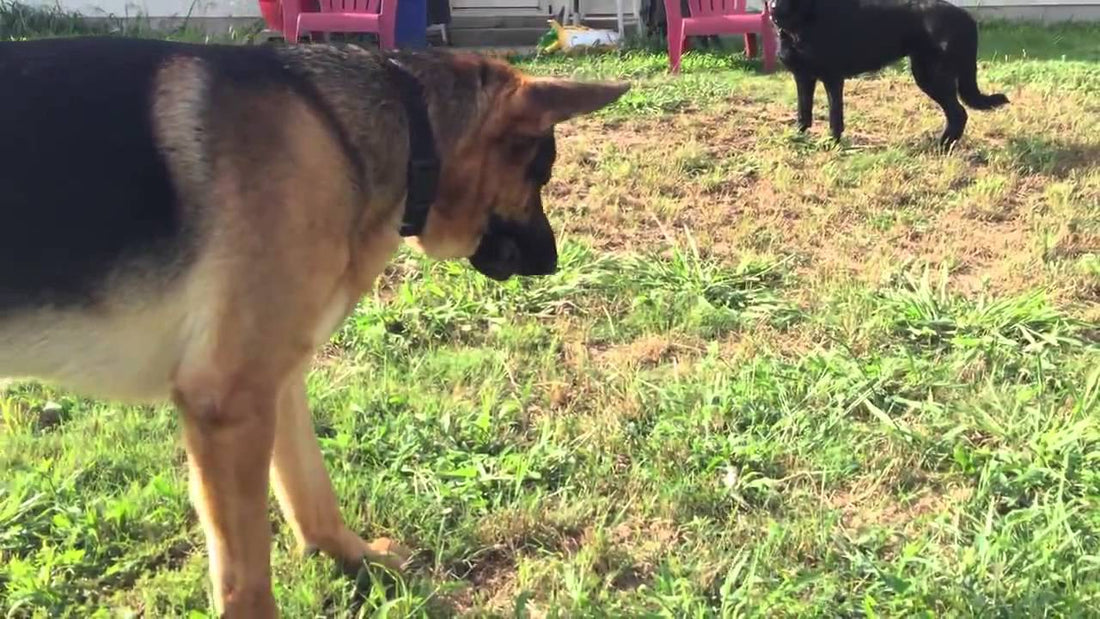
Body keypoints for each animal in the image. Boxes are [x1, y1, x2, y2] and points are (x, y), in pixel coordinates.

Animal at [0, 37, 629, 615]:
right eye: (541, 172)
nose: (553, 261)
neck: (401, 132)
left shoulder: (274, 382)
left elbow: (310, 490)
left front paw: (354, 557)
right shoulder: (229, 405)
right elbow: (246, 578)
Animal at [770, 0, 1007, 147]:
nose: (774, 8)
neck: (803, 14)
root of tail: (967, 18)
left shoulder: (832, 78)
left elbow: (835, 117)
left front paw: (832, 144)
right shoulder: (803, 77)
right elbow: (803, 113)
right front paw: (796, 138)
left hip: (932, 77)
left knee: (958, 113)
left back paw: (939, 146)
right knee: (957, 114)